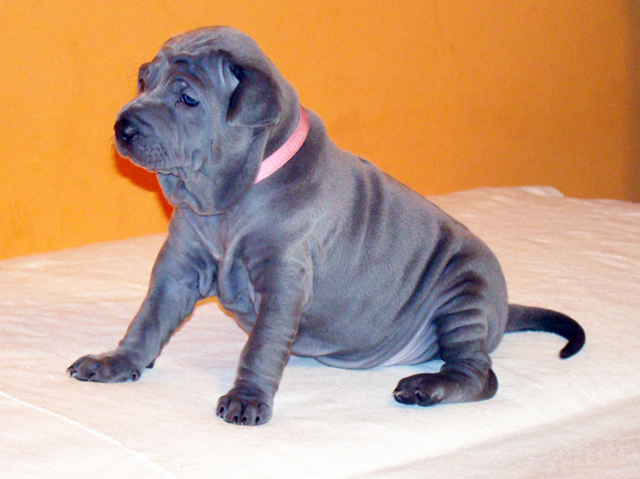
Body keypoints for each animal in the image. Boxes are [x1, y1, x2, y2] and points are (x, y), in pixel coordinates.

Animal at [68, 26, 585, 426]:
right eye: (143, 80)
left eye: (187, 98)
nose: (122, 126)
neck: (229, 201)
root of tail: (501, 308)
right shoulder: (178, 267)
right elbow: (147, 320)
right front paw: (118, 361)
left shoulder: (284, 278)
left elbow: (260, 346)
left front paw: (247, 398)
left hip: (465, 294)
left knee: (480, 374)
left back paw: (427, 387)